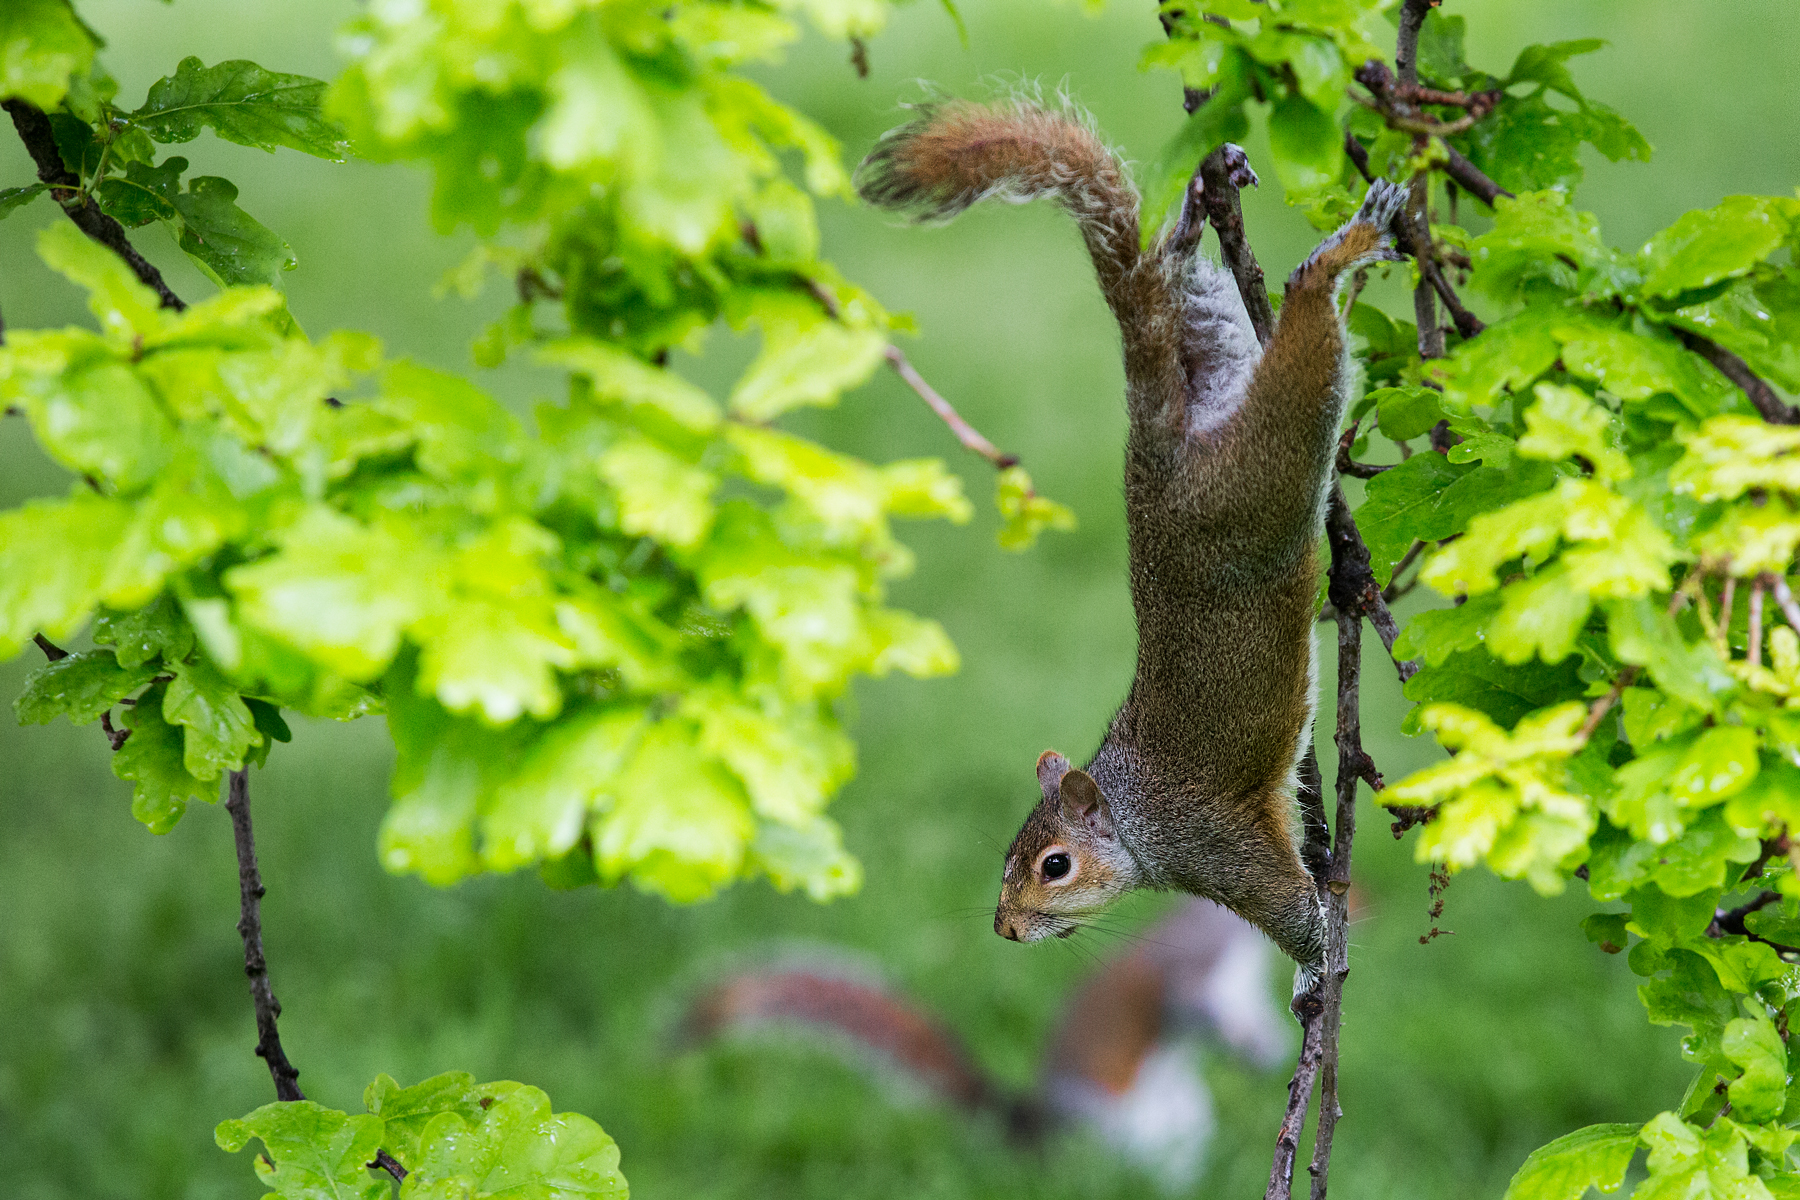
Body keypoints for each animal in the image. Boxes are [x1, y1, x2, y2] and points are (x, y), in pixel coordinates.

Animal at [854, 98, 1407, 973]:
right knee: (1178, 287)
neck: (1132, 817)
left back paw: (1336, 252)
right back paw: (1192, 219)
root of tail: (1159, 452)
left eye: (1054, 866)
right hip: (1218, 350)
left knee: (1304, 331)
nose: (1008, 929)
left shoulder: (1213, 846)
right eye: (1009, 856)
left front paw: (1321, 963)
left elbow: (1291, 913)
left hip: (1264, 474)